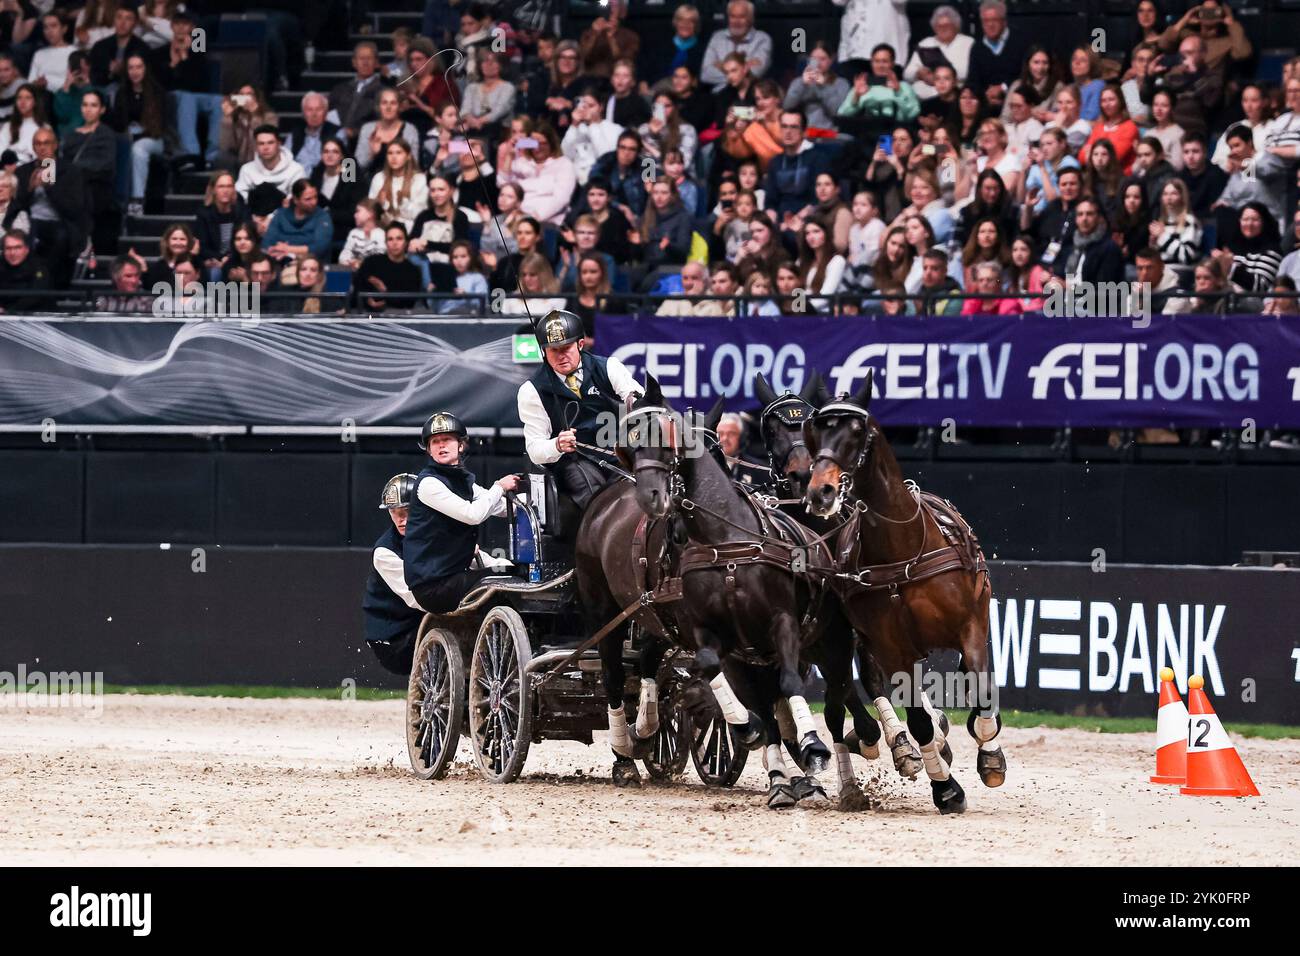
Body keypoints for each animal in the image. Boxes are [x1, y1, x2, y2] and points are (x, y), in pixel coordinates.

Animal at [800, 371, 1003, 816]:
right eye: (816, 431)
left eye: (858, 431)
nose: (821, 492)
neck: (904, 548)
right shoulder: (894, 649)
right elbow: (918, 721)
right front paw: (946, 789)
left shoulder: (971, 626)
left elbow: (981, 695)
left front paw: (989, 755)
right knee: (846, 703)